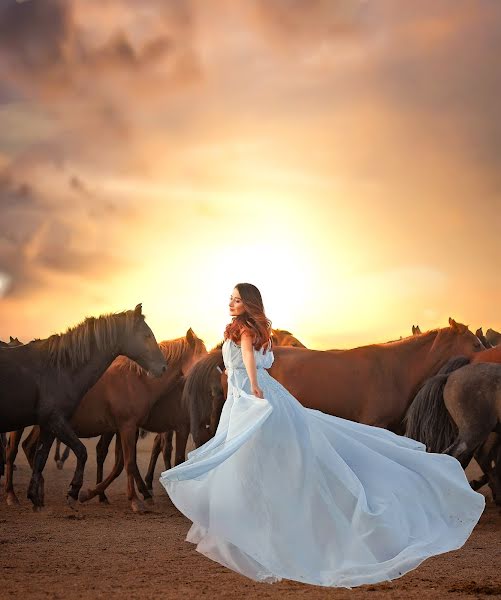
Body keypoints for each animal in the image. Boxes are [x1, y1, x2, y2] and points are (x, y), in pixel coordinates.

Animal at [0, 304, 167, 510]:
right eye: (147, 335)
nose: (163, 367)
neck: (59, 368)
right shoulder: (55, 420)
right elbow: (82, 451)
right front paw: (73, 491)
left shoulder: (49, 425)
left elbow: (41, 458)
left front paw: (36, 498)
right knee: (12, 452)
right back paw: (12, 496)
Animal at [13, 330, 206, 512]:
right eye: (201, 356)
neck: (136, 381)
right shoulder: (128, 427)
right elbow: (129, 462)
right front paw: (135, 500)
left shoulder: (127, 427)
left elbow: (123, 462)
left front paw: (90, 493)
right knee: (29, 449)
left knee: (30, 447)